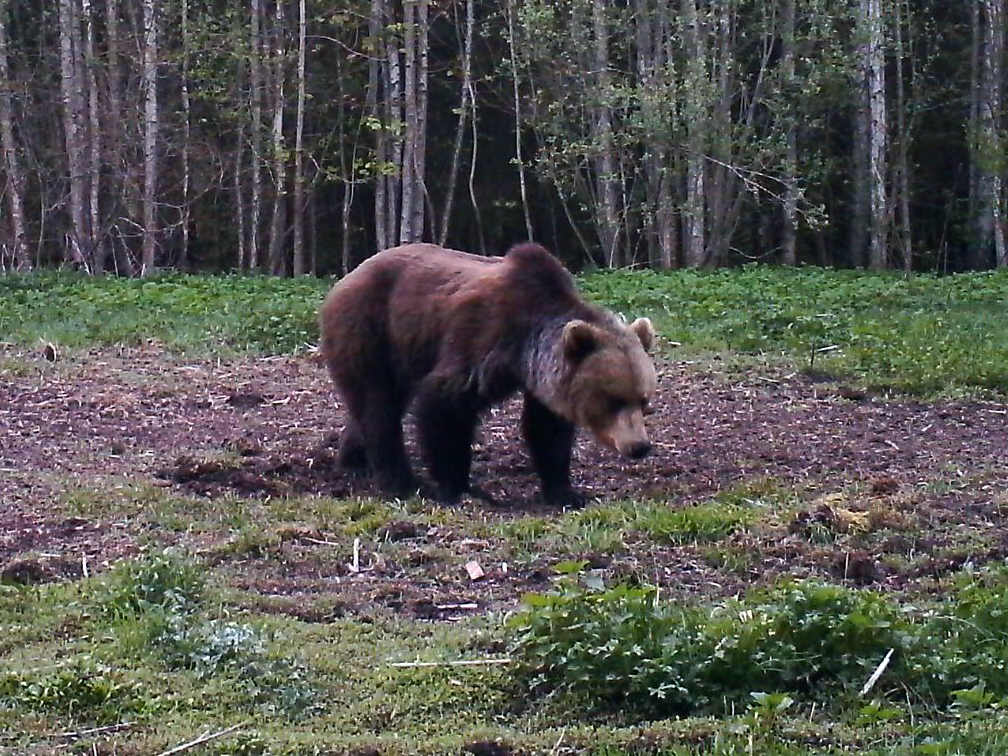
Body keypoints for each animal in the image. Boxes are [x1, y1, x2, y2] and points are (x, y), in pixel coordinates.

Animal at [318, 242, 657, 506]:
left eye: (643, 399)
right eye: (612, 400)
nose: (639, 447)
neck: (526, 342)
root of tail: (345, 279)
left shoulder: (542, 378)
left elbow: (546, 428)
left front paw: (566, 491)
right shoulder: (481, 339)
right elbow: (444, 403)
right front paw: (458, 486)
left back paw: (354, 459)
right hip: (368, 329)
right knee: (377, 405)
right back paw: (400, 480)